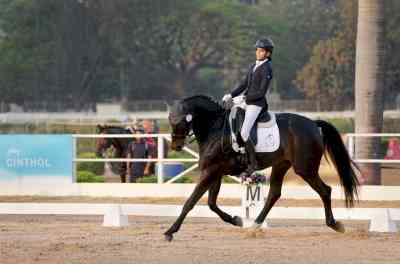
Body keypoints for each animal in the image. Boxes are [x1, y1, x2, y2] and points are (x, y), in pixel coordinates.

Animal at [164, 95, 360, 241]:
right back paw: (254, 226)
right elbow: (211, 203)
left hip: (305, 169)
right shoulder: (216, 172)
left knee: (325, 190)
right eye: (169, 120)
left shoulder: (210, 172)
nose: (175, 146)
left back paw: (335, 224)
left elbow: (190, 202)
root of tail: (313, 123)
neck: (216, 128)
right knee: (274, 194)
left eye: (180, 121)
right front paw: (236, 220)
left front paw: (170, 231)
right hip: (281, 165)